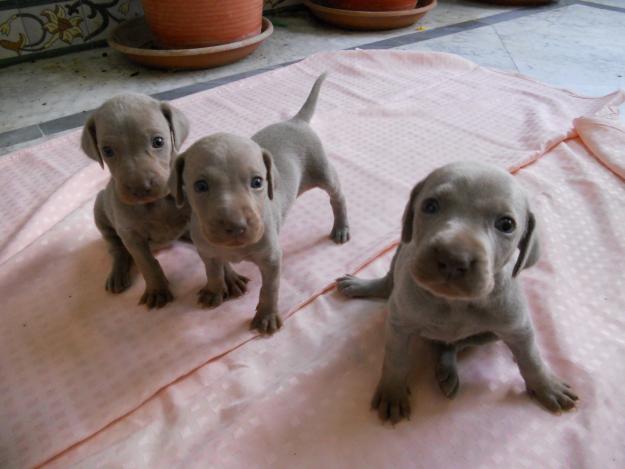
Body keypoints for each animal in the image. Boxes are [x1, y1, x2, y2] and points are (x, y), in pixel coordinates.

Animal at [81, 93, 191, 308]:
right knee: (117, 249)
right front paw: (157, 290)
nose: (140, 188)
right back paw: (117, 274)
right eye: (107, 151)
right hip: (100, 210)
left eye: (158, 141)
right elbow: (146, 264)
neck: (155, 203)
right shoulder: (131, 236)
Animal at [171, 74, 348, 332]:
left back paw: (341, 226)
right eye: (200, 186)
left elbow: (269, 288)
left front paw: (266, 315)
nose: (236, 227)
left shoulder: (271, 258)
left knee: (337, 196)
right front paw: (214, 290)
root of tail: (295, 120)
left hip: (321, 169)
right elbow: (212, 270)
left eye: (257, 182)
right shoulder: (205, 250)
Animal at [336, 161, 576, 420]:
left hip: (489, 335)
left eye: (506, 224)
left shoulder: (517, 326)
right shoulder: (399, 323)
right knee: (390, 283)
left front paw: (546, 385)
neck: (454, 302)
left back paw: (447, 367)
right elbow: (395, 358)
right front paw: (393, 390)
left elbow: (531, 357)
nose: (453, 258)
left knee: (453, 345)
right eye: (430, 206)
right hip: (401, 251)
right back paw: (364, 286)